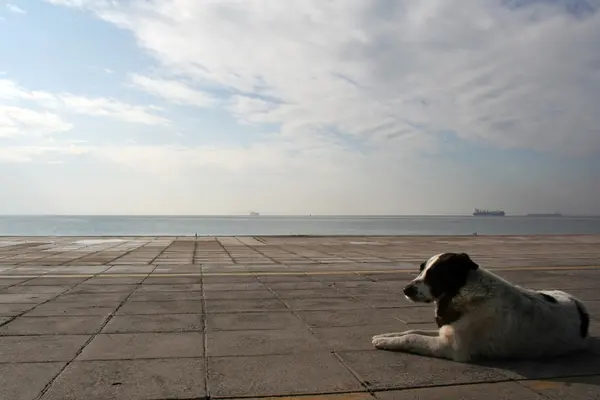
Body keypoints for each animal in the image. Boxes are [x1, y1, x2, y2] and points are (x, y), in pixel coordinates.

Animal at [370, 253, 592, 362]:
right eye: (421, 269)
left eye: (435, 274)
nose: (406, 289)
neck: (462, 291)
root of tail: (581, 307)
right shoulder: (446, 331)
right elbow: (411, 331)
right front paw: (386, 336)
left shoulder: (451, 348)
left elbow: (412, 338)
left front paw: (385, 341)